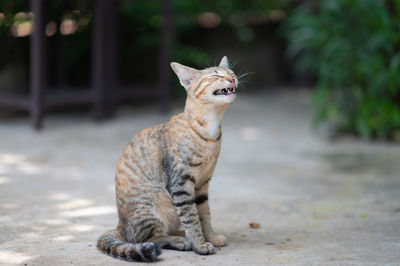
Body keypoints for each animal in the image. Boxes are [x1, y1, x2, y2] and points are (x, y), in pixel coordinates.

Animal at [97, 56, 238, 262]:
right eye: (215, 75)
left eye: (231, 73)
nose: (232, 78)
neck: (210, 128)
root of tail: (120, 224)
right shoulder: (181, 183)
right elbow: (192, 217)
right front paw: (200, 243)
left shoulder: (203, 184)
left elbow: (204, 214)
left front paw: (210, 237)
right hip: (153, 207)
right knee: (149, 238)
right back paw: (179, 240)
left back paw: (181, 234)